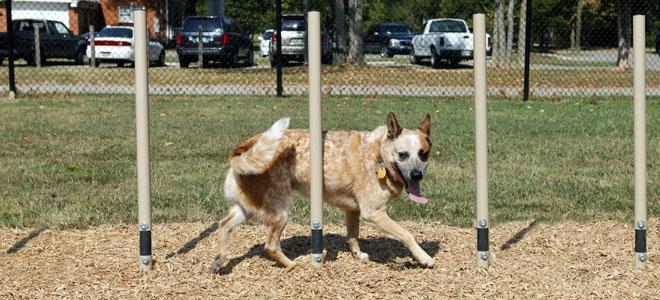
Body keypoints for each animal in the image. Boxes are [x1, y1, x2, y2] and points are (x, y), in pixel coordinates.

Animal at [211, 110, 436, 272]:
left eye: (423, 154)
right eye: (403, 155)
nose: (417, 175)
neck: (377, 155)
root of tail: (245, 146)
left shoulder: (353, 211)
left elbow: (353, 236)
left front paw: (358, 256)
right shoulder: (373, 213)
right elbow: (407, 234)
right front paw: (424, 258)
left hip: (247, 209)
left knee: (223, 225)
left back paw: (219, 260)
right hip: (280, 211)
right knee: (271, 246)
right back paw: (294, 265)